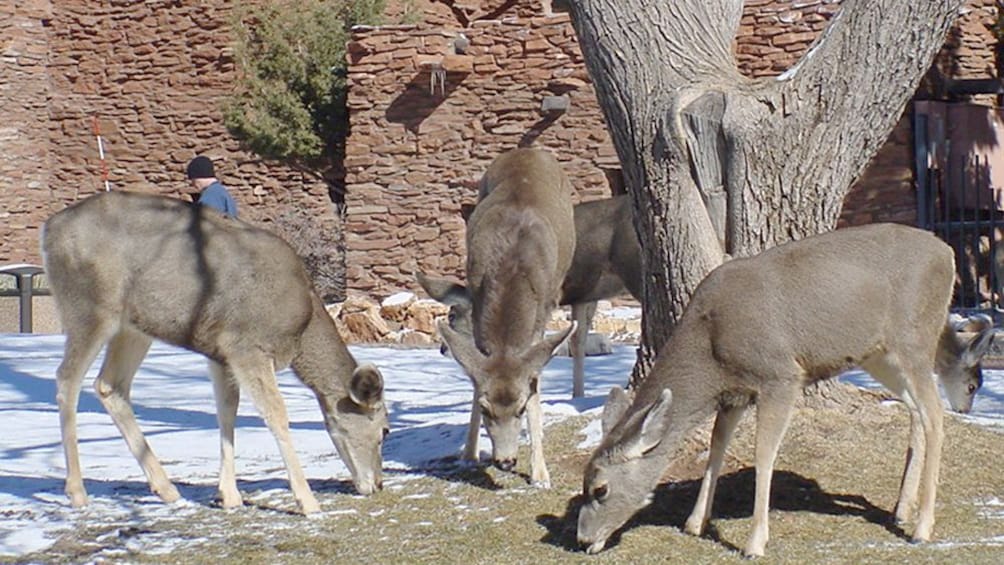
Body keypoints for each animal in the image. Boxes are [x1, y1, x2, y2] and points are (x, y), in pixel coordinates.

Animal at [43, 191, 387, 517]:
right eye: (384, 429)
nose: (378, 485)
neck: (300, 331)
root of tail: (48, 229)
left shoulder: (221, 354)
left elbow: (226, 411)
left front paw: (229, 495)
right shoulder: (247, 346)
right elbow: (276, 414)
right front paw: (308, 502)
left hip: (134, 327)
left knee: (109, 385)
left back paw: (166, 489)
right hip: (90, 307)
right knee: (66, 379)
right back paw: (77, 491)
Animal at [429, 147, 574, 485]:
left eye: (519, 408)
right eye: (486, 410)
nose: (506, 462)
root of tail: (528, 149)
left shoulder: (540, 318)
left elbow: (535, 381)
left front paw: (540, 473)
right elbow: (473, 377)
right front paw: (468, 454)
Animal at [578, 223, 991, 557]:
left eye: (600, 489)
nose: (583, 540)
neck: (709, 344)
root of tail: (947, 251)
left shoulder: (779, 375)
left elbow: (764, 454)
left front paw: (754, 543)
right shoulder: (735, 393)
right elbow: (717, 447)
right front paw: (695, 523)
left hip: (913, 338)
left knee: (935, 415)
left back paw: (922, 527)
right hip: (880, 355)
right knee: (916, 411)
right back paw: (900, 510)